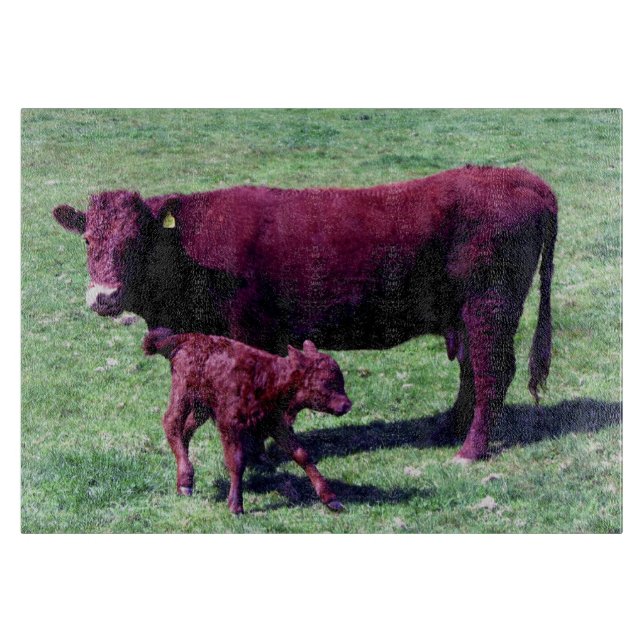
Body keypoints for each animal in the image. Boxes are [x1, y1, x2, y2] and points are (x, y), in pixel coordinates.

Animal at [53, 165, 557, 462]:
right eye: (87, 239)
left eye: (136, 241)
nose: (104, 296)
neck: (189, 250)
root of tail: (518, 176)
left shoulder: (247, 329)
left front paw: (255, 455)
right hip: (470, 315)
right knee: (473, 371)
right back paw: (446, 430)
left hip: (490, 306)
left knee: (493, 372)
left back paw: (469, 450)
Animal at [143, 328, 352, 514]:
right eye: (325, 381)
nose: (347, 405)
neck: (270, 377)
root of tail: (187, 338)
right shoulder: (231, 426)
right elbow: (237, 461)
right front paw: (236, 506)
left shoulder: (275, 423)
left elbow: (301, 454)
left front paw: (331, 499)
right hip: (183, 394)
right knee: (171, 423)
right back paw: (186, 481)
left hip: (201, 409)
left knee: (185, 431)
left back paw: (184, 481)